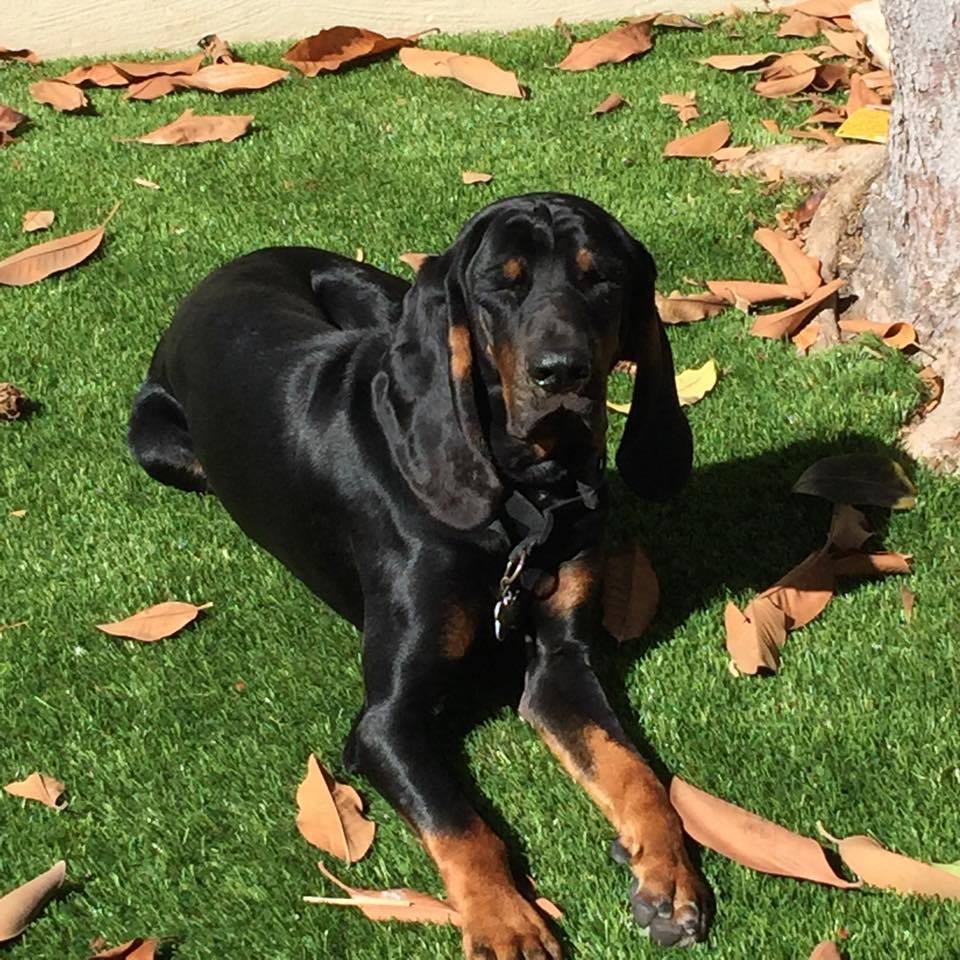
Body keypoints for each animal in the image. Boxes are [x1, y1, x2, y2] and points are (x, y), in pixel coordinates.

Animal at [128, 193, 710, 957]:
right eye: (500, 284)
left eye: (602, 278)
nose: (563, 373)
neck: (525, 501)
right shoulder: (386, 721)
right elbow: (463, 827)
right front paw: (506, 924)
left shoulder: (561, 665)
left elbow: (633, 769)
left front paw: (666, 873)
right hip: (156, 442)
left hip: (388, 296)